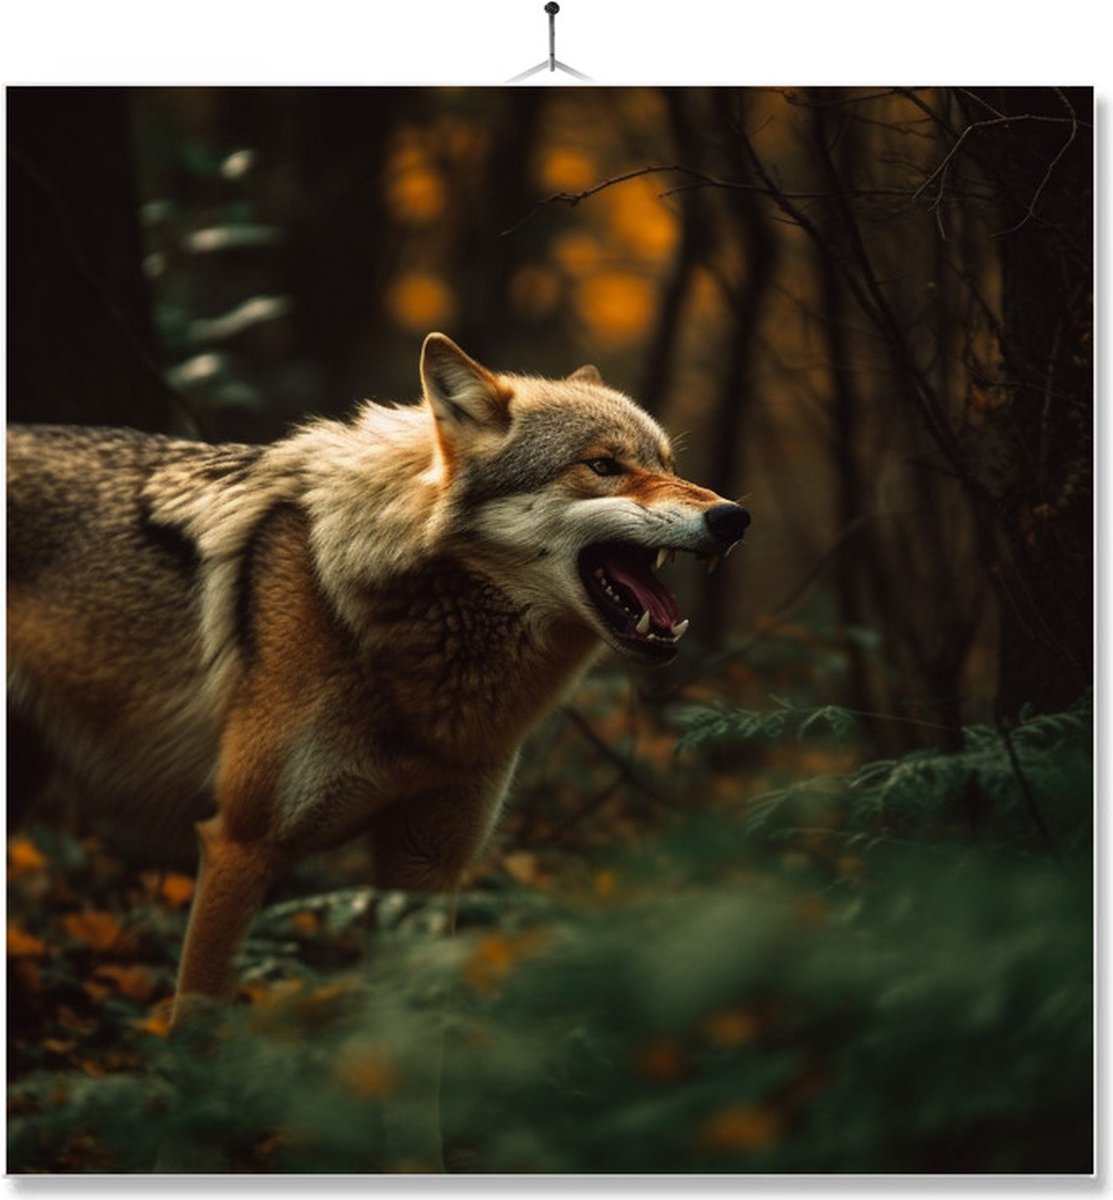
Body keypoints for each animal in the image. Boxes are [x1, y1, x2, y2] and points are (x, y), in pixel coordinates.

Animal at [7, 333, 750, 1025]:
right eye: (602, 466)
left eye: (670, 466)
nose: (734, 516)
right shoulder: (237, 846)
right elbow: (197, 1024)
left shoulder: (426, 867)